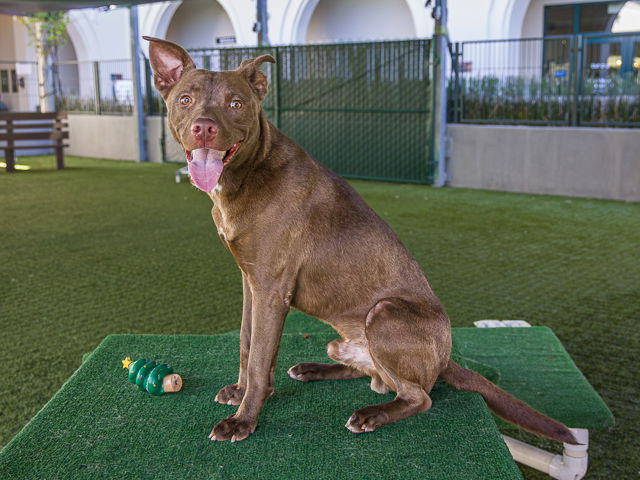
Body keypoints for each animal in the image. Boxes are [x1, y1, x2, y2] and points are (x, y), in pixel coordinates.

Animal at [146, 35, 580, 444]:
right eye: (185, 99)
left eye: (236, 104)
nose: (204, 127)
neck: (249, 172)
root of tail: (445, 359)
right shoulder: (250, 282)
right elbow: (246, 342)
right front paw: (241, 393)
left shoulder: (270, 289)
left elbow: (258, 359)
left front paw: (243, 420)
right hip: (346, 340)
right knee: (375, 377)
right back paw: (313, 369)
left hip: (384, 314)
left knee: (418, 395)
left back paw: (371, 414)